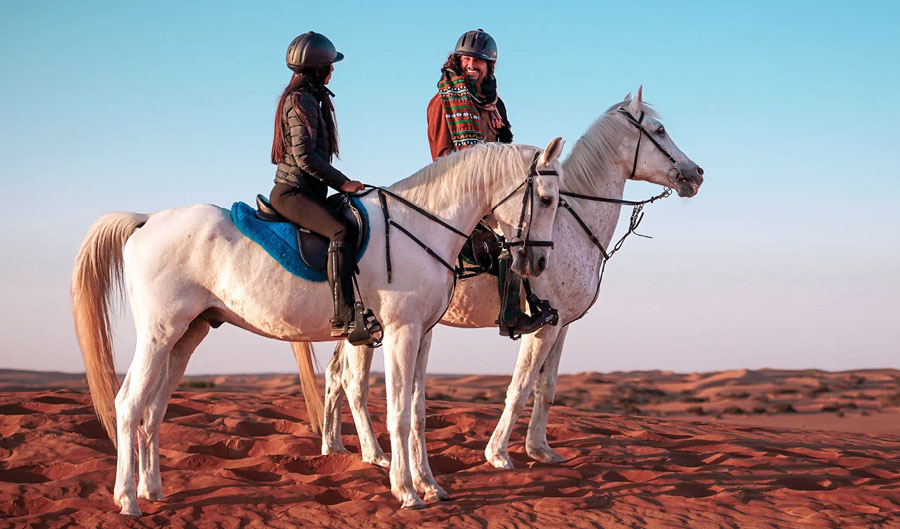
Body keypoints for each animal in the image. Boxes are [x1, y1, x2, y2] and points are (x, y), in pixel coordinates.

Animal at [71, 138, 564, 515]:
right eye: (545, 199)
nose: (540, 263)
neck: (419, 225)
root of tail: (146, 220)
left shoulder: (422, 335)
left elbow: (419, 412)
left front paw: (430, 486)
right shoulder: (401, 332)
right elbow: (399, 412)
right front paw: (406, 491)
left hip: (186, 336)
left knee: (154, 410)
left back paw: (152, 490)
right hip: (159, 333)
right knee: (128, 404)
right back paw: (127, 500)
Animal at [296, 87, 704, 469]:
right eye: (659, 130)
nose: (696, 173)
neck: (569, 224)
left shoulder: (563, 325)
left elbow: (546, 386)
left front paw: (541, 449)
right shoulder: (543, 325)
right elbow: (521, 385)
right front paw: (499, 454)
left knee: (334, 375)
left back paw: (334, 449)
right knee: (349, 380)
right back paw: (373, 455)